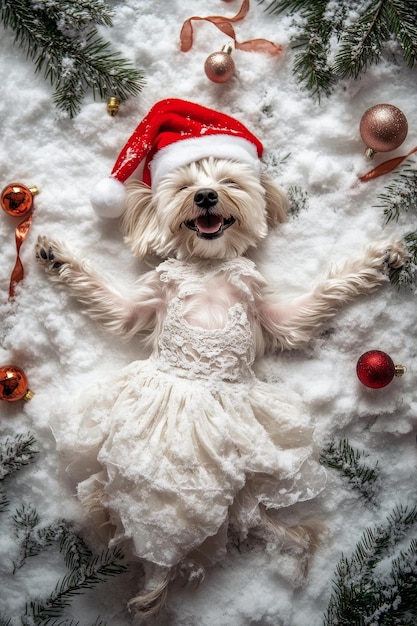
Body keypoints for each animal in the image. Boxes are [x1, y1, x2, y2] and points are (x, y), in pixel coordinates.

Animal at [35, 100, 404, 616]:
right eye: (183, 187)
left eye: (229, 182)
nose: (207, 195)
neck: (208, 266)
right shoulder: (141, 306)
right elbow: (104, 294)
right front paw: (56, 257)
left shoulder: (277, 315)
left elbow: (326, 291)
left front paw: (378, 262)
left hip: (242, 493)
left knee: (255, 525)